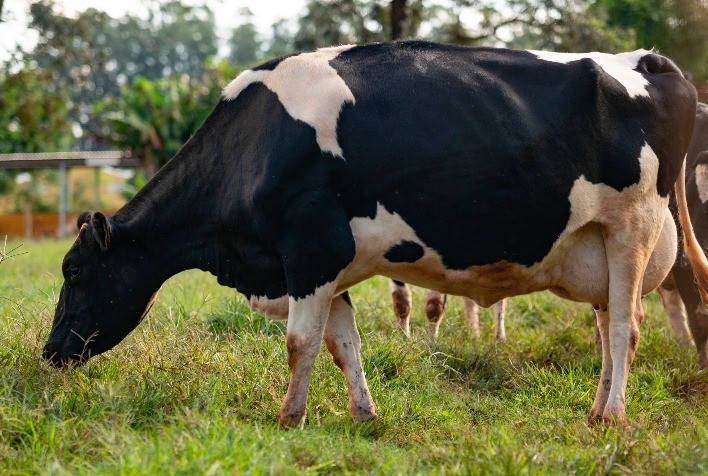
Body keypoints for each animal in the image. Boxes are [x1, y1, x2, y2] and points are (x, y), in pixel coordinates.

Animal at [42, 41, 704, 427]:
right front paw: (362, 413)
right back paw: (596, 408)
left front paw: (288, 417)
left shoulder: (312, 250)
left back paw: (611, 417)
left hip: (633, 229)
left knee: (624, 329)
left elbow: (300, 343)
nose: (49, 352)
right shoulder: (321, 265)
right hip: (600, 245)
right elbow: (344, 344)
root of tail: (647, 59)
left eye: (73, 271)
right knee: (609, 326)